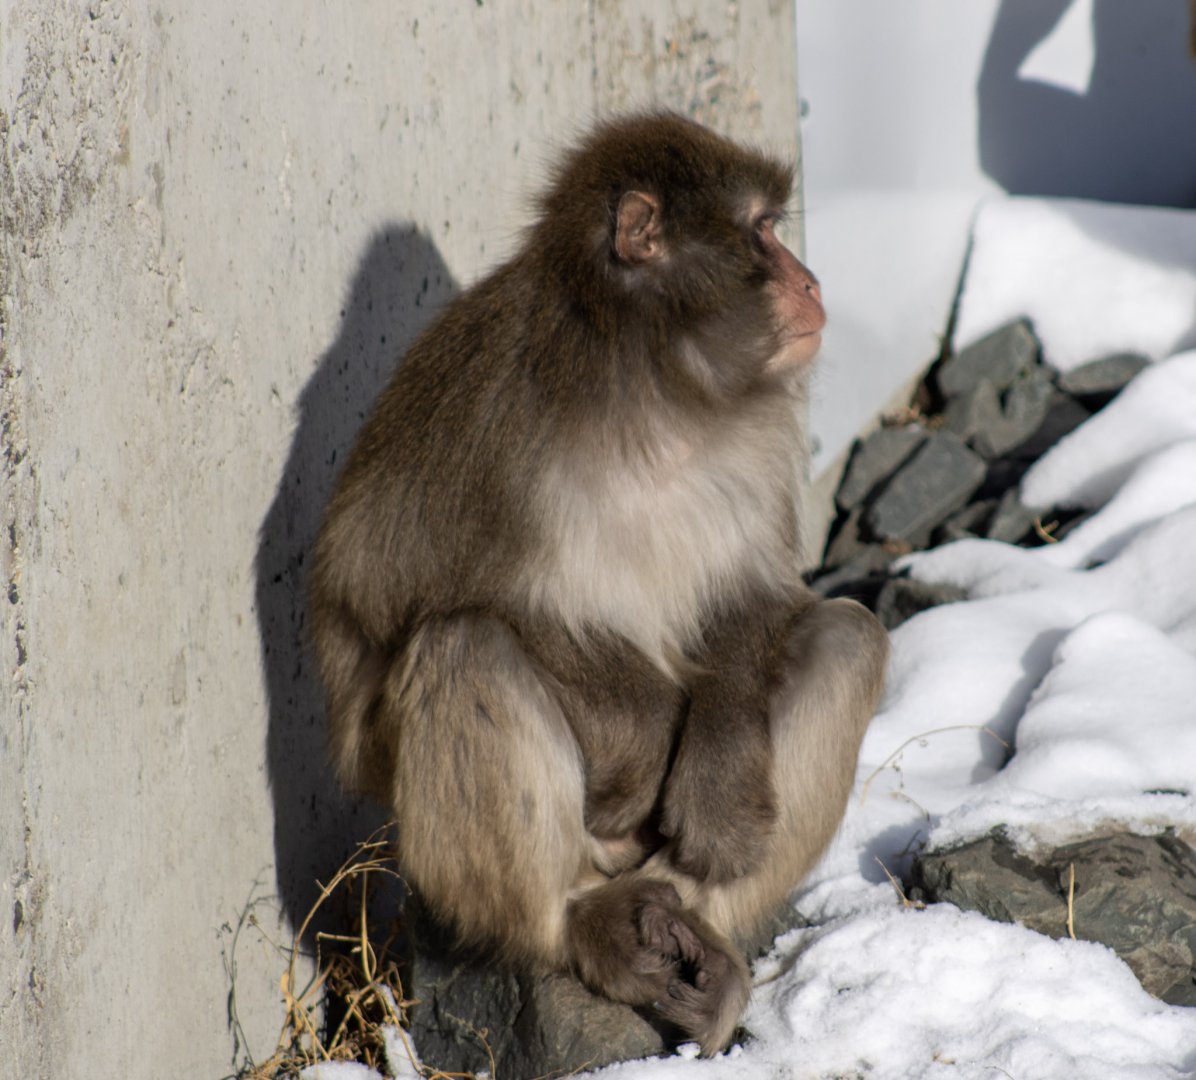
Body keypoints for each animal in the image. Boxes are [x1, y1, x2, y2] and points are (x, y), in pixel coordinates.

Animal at [309, 112, 889, 1056]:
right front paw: (646, 738)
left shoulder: (763, 440)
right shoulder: (485, 413)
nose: (809, 280)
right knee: (463, 647)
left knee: (848, 636)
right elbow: (382, 601)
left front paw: (719, 786)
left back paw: (691, 927)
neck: (654, 391)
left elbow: (759, 598)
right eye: (761, 230)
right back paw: (583, 922)